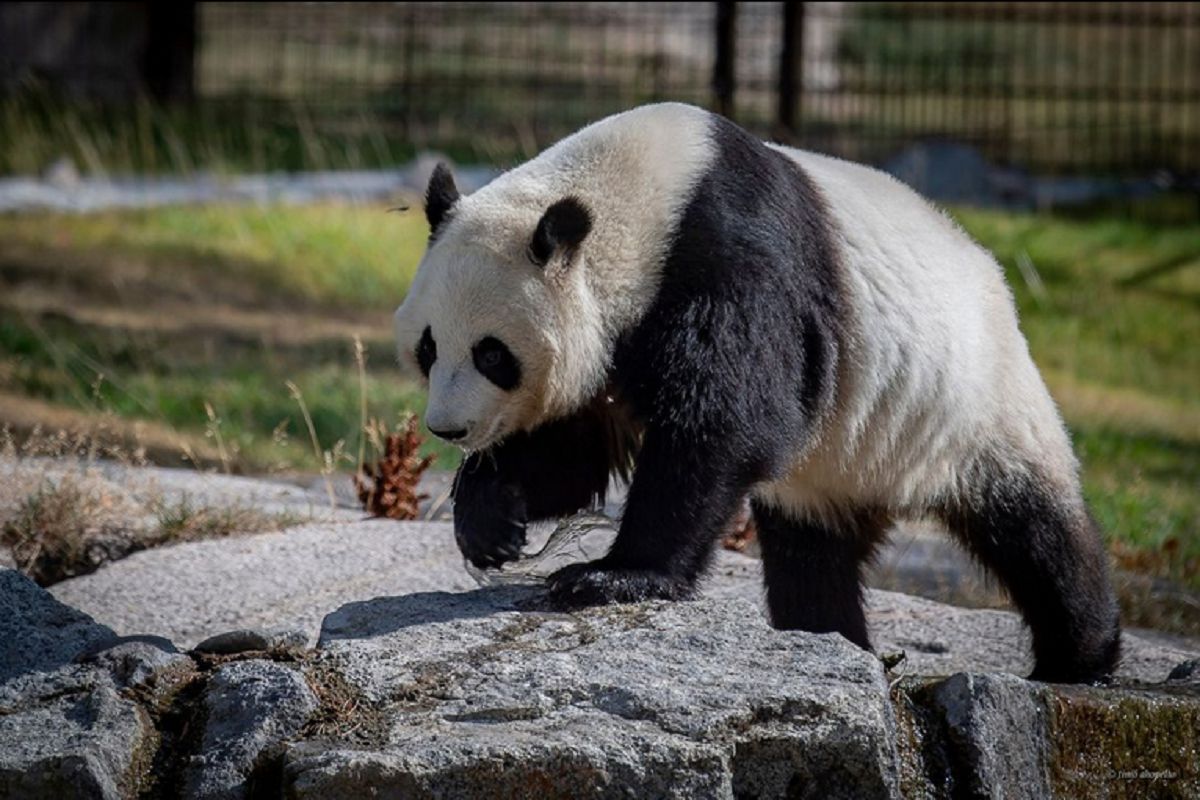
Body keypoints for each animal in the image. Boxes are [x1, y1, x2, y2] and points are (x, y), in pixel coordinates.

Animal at [396, 103, 1123, 686]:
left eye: (493, 354)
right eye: (428, 348)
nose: (449, 429)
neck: (637, 201)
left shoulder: (732, 261)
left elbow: (727, 423)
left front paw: (611, 577)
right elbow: (575, 454)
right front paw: (490, 523)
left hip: (975, 398)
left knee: (1038, 531)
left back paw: (1081, 659)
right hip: (835, 464)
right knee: (812, 554)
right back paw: (831, 638)